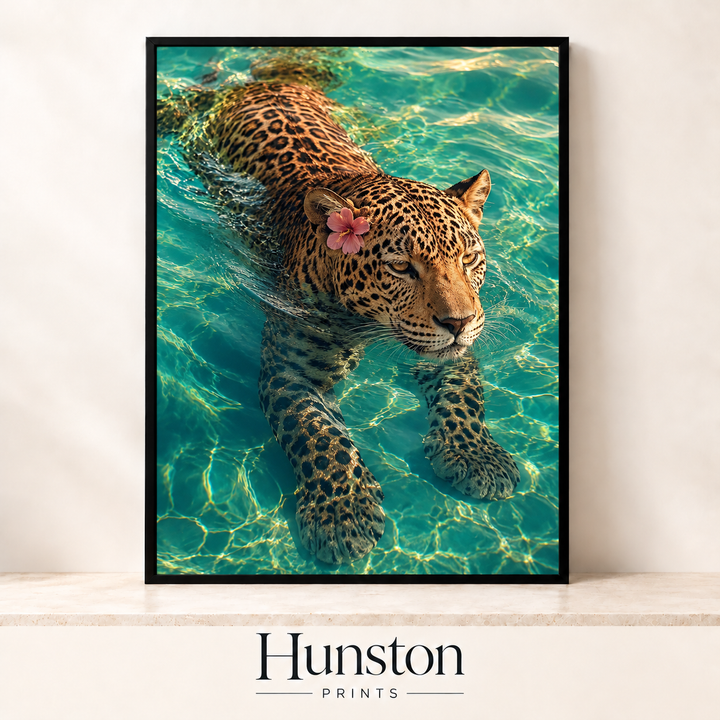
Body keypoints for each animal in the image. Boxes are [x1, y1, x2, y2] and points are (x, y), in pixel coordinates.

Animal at [159, 75, 521, 566]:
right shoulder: (291, 371)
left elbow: (465, 396)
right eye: (401, 267)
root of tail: (269, 81)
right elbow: (316, 434)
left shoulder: (451, 355)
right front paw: (342, 512)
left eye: (468, 259)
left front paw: (478, 456)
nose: (459, 322)